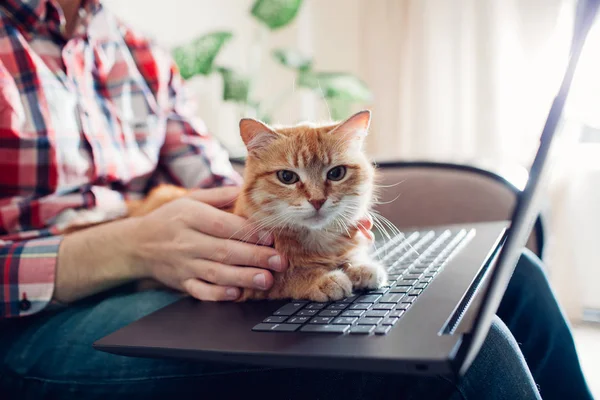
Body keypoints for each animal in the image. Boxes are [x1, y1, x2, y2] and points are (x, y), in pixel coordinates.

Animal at [63, 109, 386, 300]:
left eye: (336, 173)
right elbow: (285, 276)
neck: (316, 242)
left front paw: (360, 267)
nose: (318, 200)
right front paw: (322, 279)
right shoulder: (248, 285)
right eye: (287, 177)